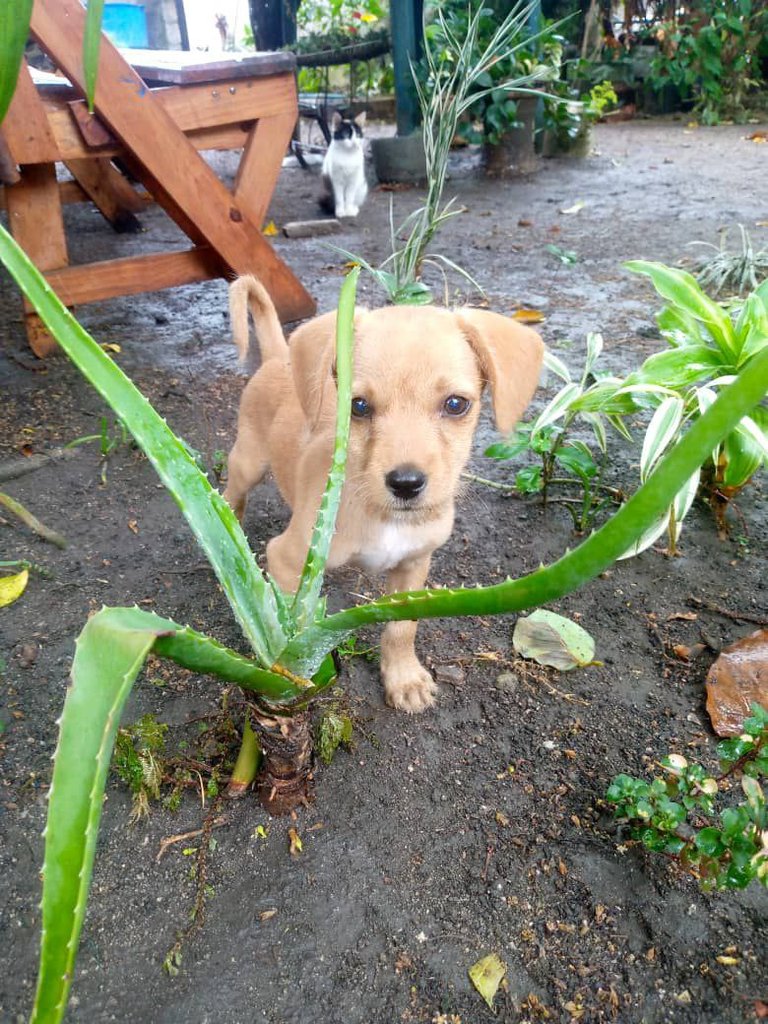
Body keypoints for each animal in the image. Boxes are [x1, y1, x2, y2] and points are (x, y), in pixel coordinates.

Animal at [225, 276, 544, 716]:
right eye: (358, 406)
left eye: (456, 404)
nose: (406, 483)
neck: (385, 517)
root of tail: (278, 357)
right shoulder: (289, 560)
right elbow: (291, 637)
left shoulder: (415, 564)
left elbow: (400, 629)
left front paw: (403, 679)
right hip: (248, 462)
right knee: (230, 495)